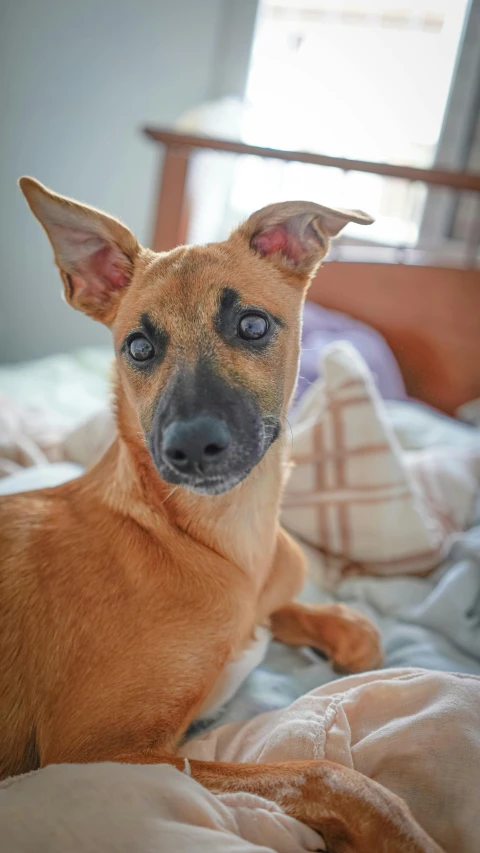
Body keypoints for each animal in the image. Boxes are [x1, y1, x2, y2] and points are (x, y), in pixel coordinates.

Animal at [0, 178, 442, 844]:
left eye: (252, 325)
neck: (218, 537)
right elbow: (325, 774)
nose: (190, 446)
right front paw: (398, 832)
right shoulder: (99, 753)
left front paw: (343, 635)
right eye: (139, 347)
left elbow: (350, 629)